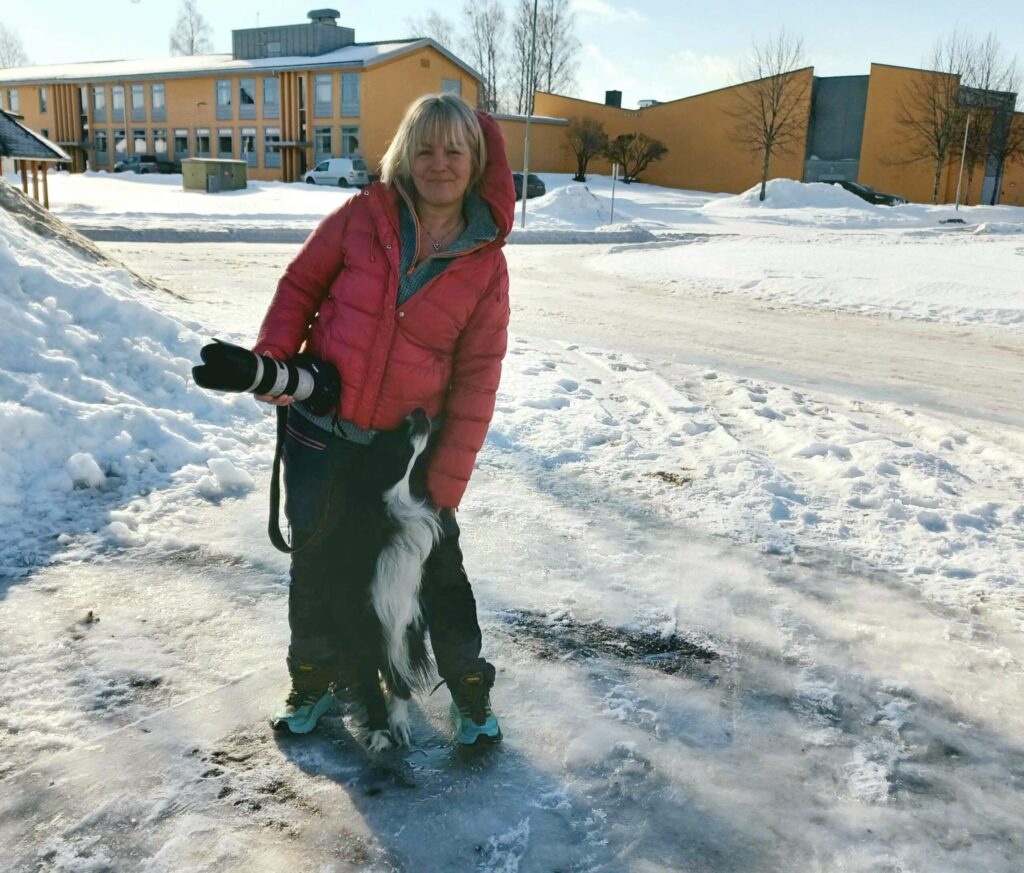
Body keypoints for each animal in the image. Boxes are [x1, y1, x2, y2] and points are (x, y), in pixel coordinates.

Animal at [339, 405, 444, 753]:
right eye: (389, 441)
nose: (419, 411)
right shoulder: (364, 622)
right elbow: (371, 680)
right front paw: (379, 731)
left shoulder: (407, 620)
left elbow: (398, 677)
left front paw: (398, 724)